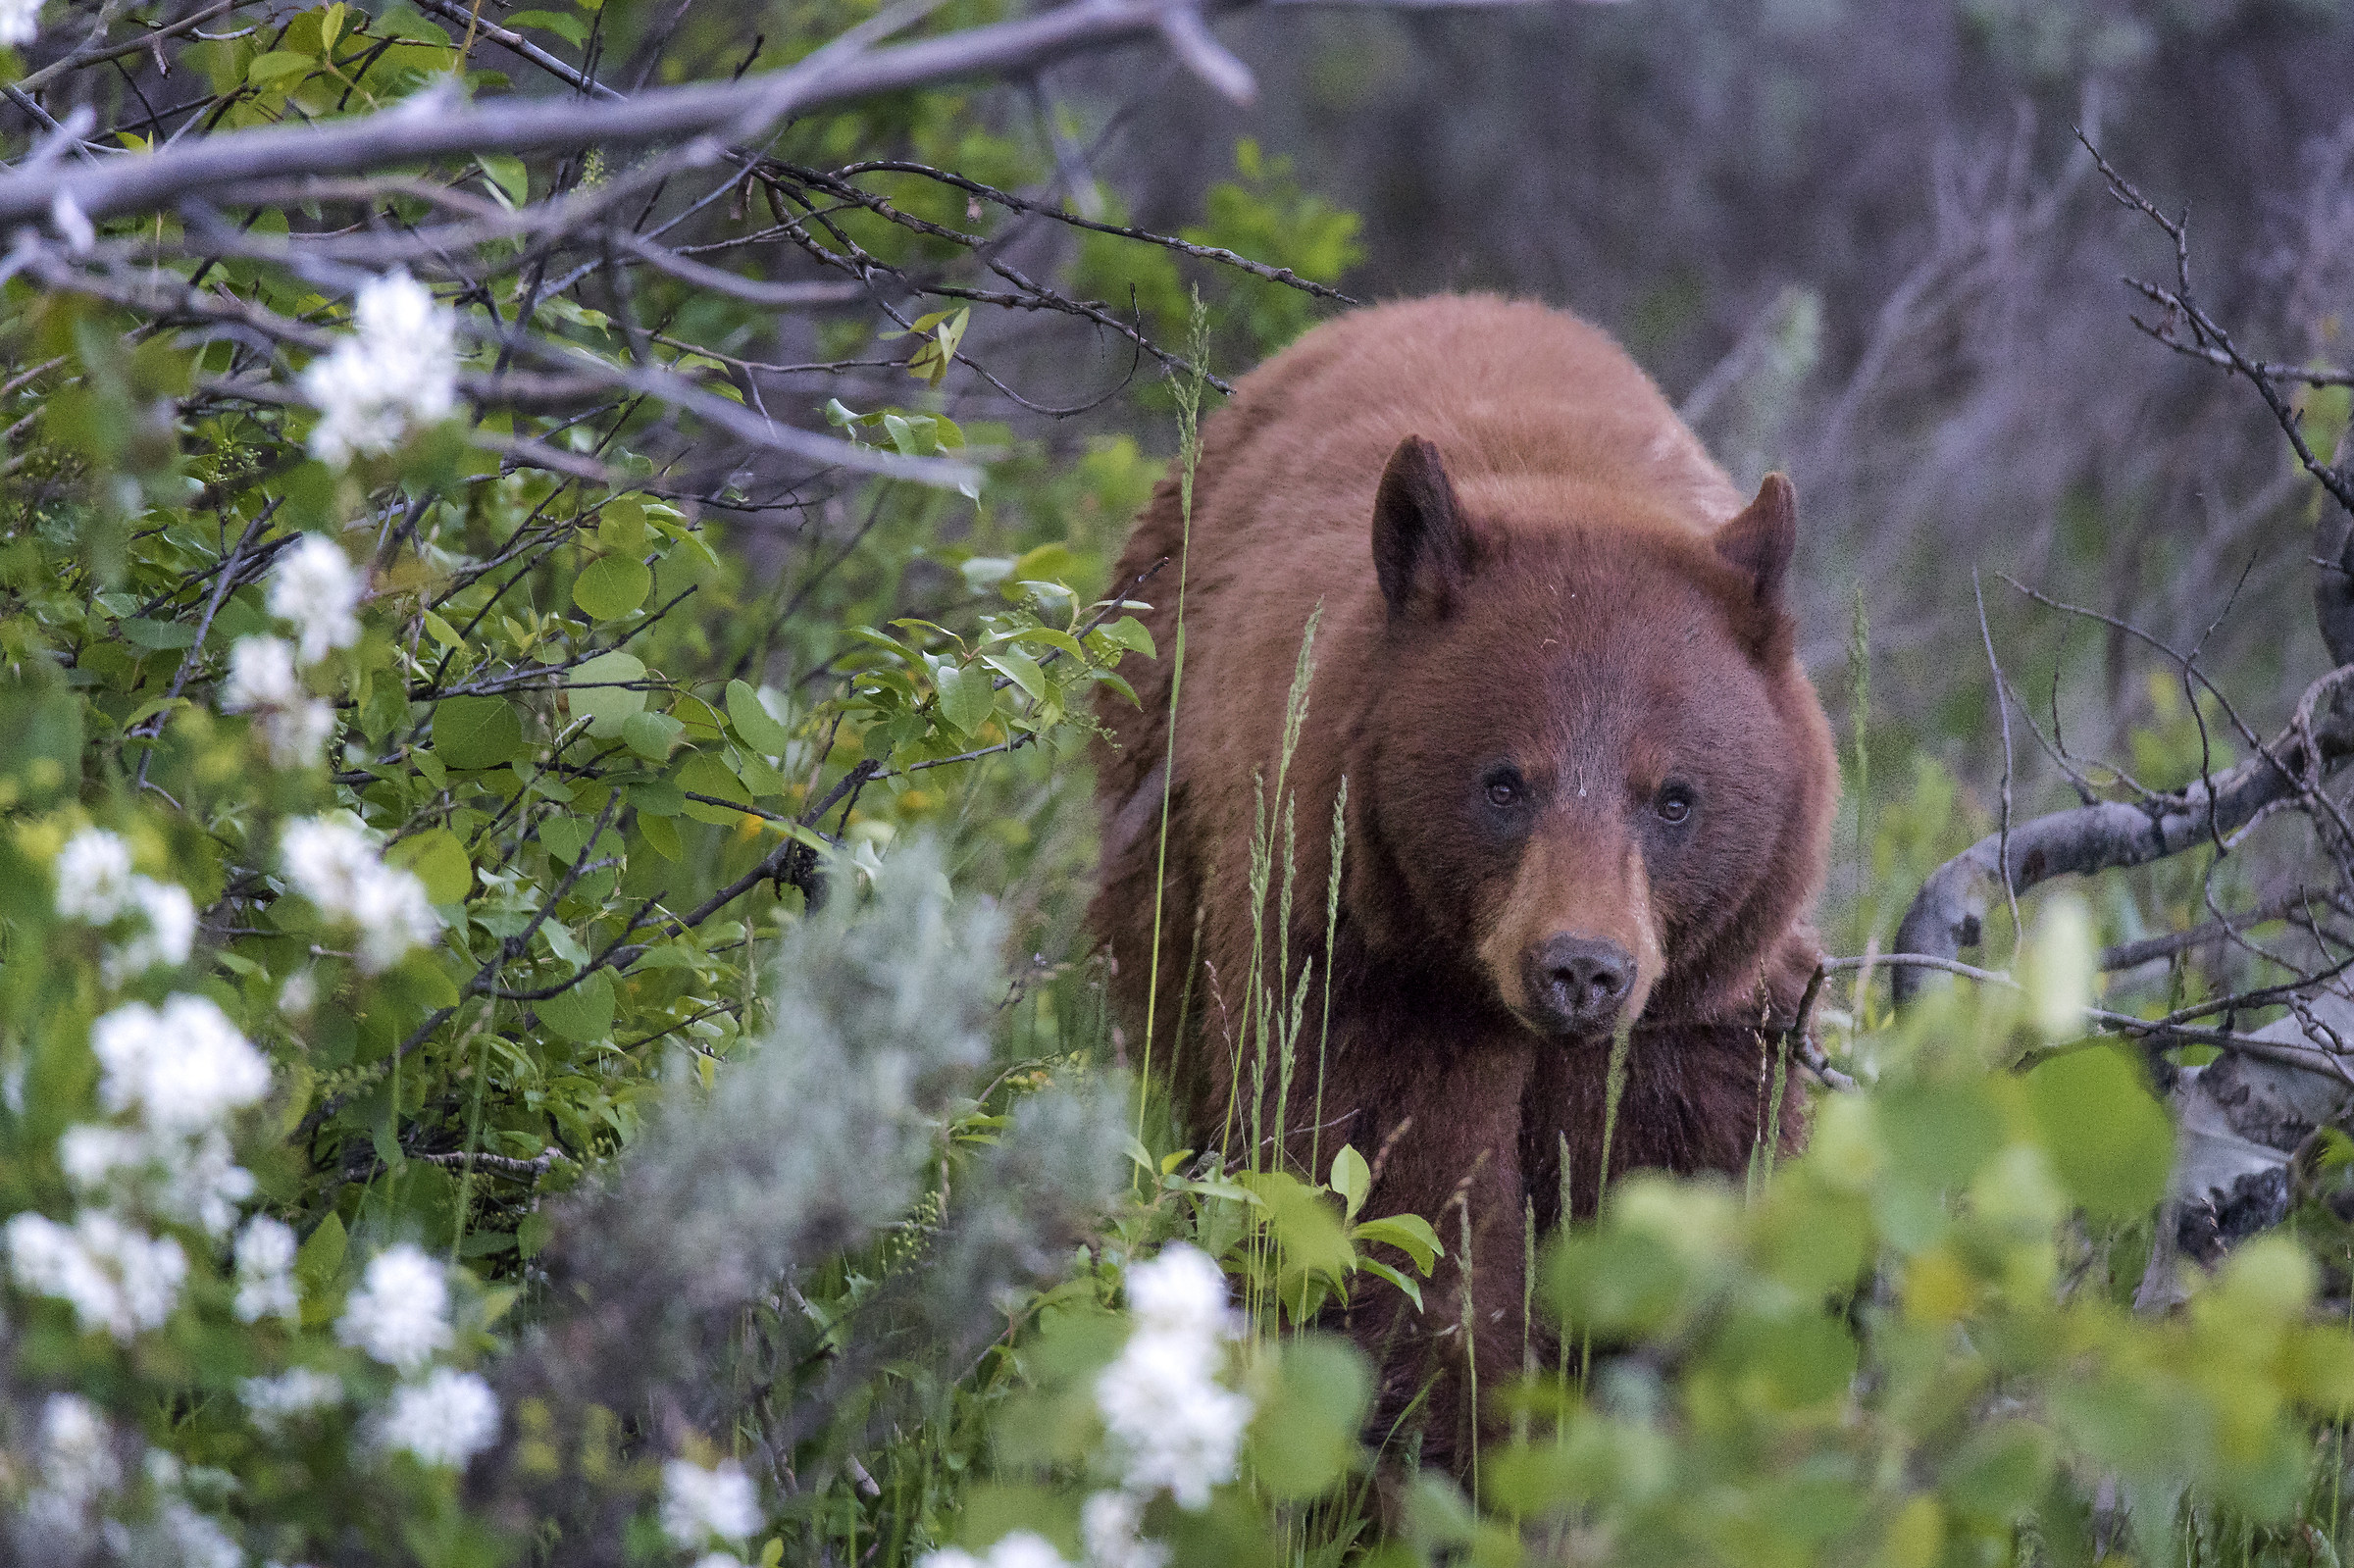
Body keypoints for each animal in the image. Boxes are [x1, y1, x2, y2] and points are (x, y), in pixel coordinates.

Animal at [1088, 294, 1839, 1470]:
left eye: (1674, 797)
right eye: (1504, 782)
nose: (1581, 969)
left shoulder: (1699, 1022)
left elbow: (1688, 1216)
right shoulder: (1362, 977)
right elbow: (1396, 1227)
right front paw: (1442, 1458)